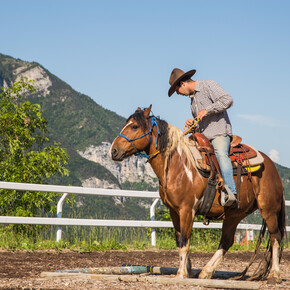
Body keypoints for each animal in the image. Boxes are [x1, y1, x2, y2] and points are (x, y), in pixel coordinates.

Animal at [110, 105, 286, 284]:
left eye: (134, 126)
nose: (113, 151)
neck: (179, 165)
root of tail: (272, 166)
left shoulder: (187, 210)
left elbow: (185, 241)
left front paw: (181, 273)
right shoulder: (174, 211)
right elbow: (179, 240)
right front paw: (188, 270)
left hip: (269, 210)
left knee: (275, 237)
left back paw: (275, 275)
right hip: (235, 214)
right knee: (227, 241)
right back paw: (206, 272)